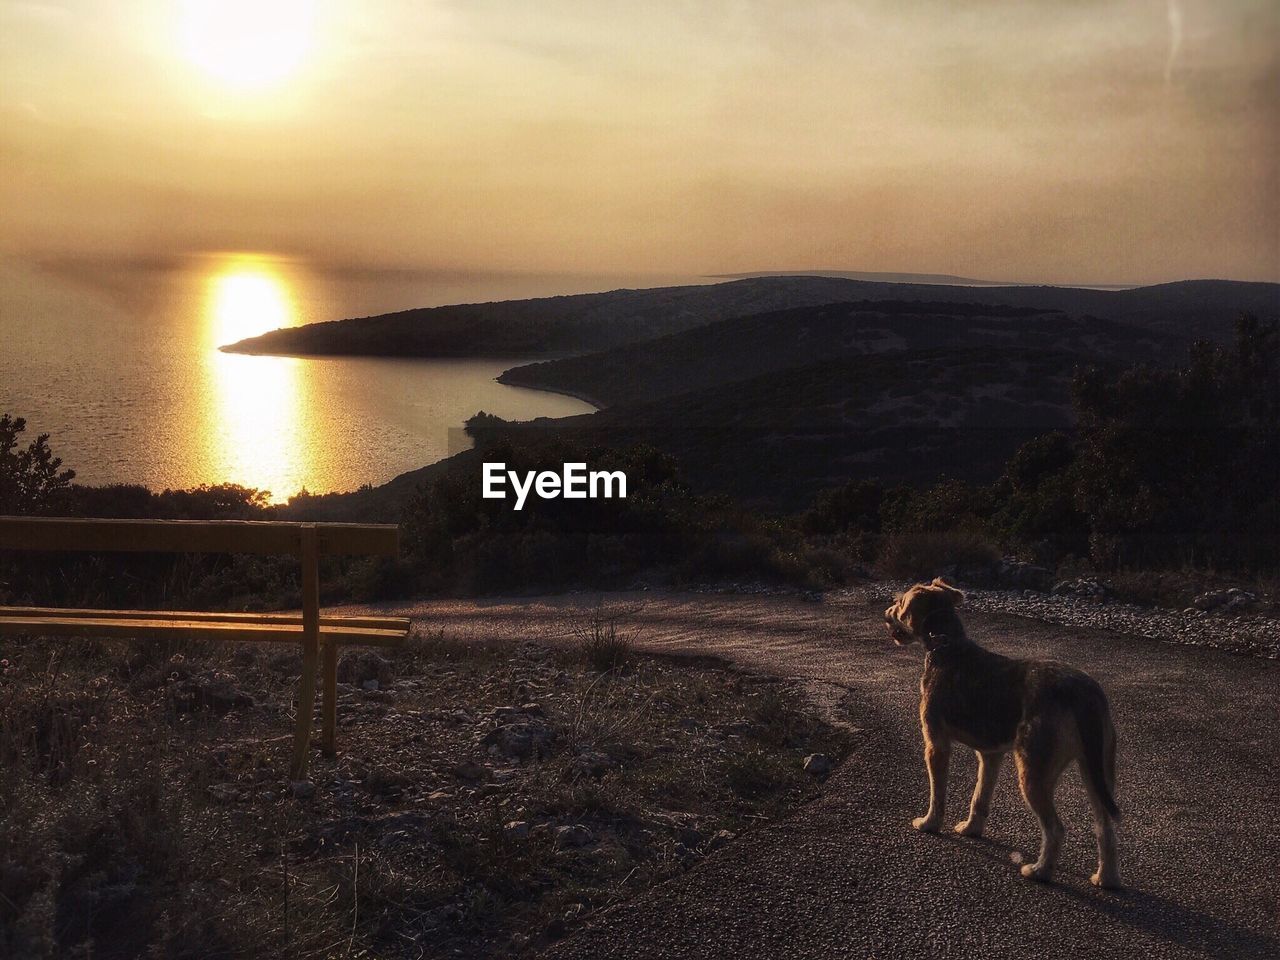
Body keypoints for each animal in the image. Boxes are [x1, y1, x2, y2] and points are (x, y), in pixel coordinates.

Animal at [880, 578, 1121, 885]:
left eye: (900, 604)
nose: (886, 612)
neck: (946, 643)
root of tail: (1081, 693)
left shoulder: (936, 744)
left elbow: (937, 792)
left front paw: (929, 823)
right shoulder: (990, 755)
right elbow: (979, 796)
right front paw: (971, 828)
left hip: (1033, 771)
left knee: (1055, 829)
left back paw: (1040, 870)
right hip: (1096, 770)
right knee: (1105, 828)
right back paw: (1106, 878)